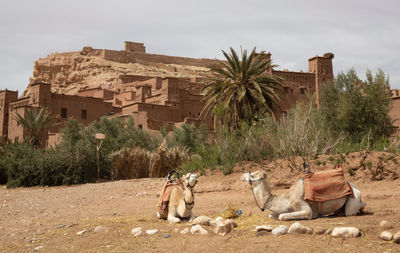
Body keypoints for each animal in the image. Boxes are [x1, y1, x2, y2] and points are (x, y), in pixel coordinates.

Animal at [239, 165, 368, 220]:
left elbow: (282, 216)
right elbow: (272, 215)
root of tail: (353, 186)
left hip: (353, 200)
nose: (241, 176)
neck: (285, 199)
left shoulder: (302, 206)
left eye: (252, 175)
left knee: (352, 210)